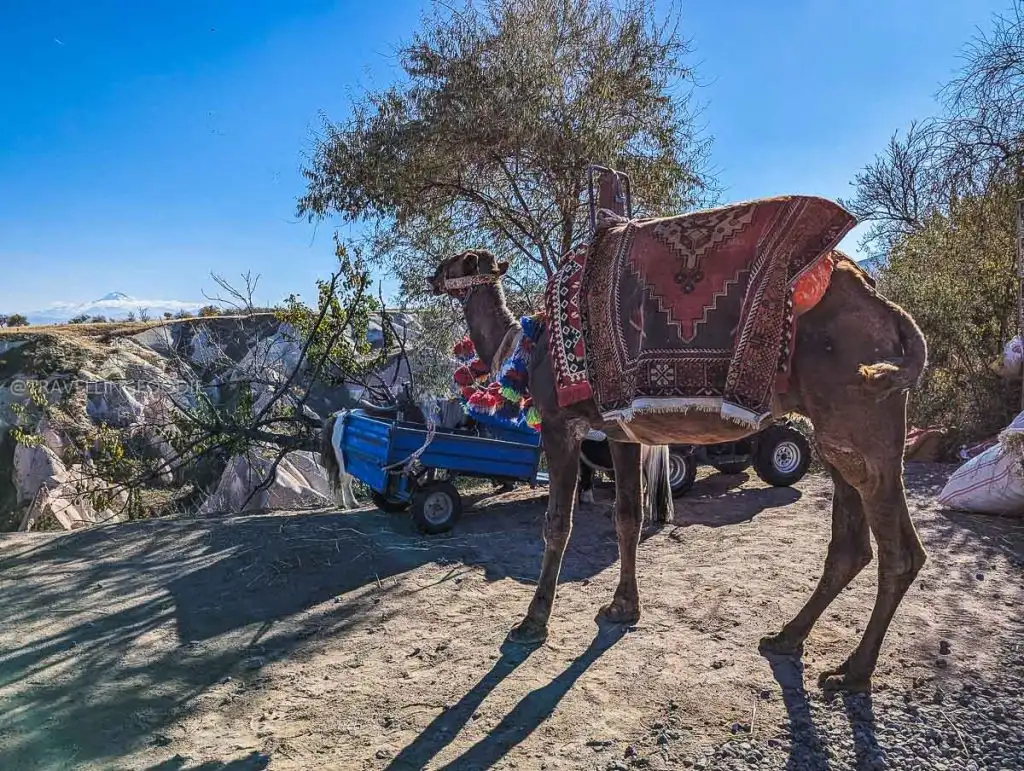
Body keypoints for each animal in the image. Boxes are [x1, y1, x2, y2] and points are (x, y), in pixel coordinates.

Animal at [428, 208, 928, 692]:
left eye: (458, 262)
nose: (432, 275)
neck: (528, 344)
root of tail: (891, 312)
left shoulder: (559, 424)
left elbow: (558, 524)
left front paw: (532, 623)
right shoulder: (619, 433)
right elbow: (627, 517)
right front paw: (623, 608)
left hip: (861, 421)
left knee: (899, 552)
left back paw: (853, 673)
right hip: (840, 434)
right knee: (852, 545)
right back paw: (787, 638)